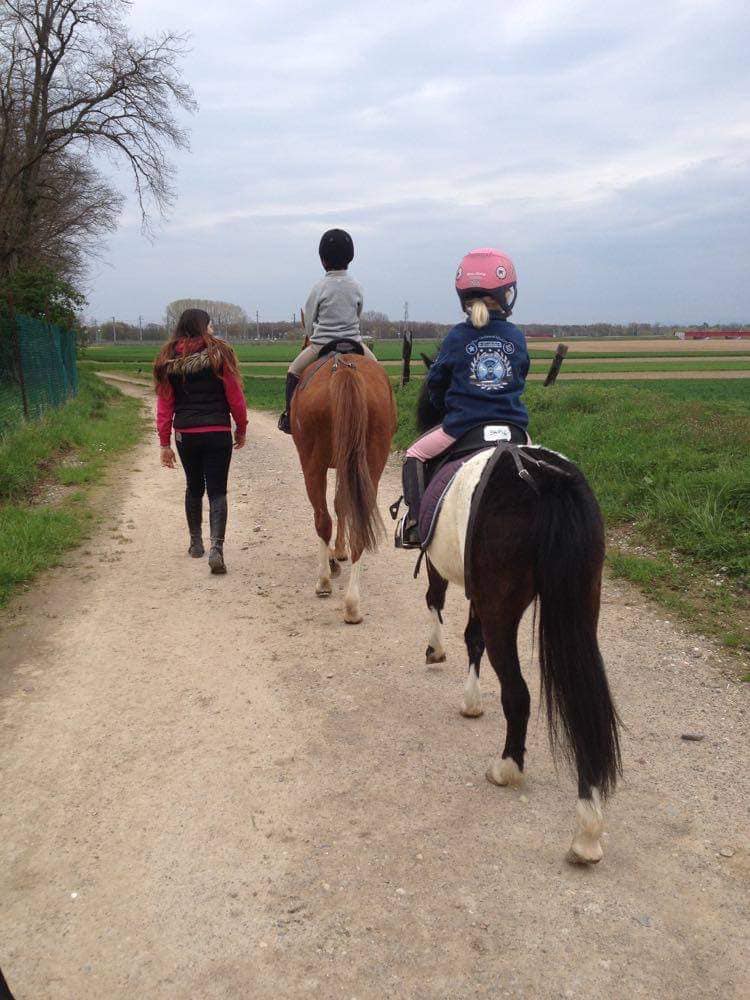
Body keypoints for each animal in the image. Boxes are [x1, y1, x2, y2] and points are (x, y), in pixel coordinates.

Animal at [292, 348, 400, 620]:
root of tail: (343, 368)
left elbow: (336, 506)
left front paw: (335, 556)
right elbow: (342, 504)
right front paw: (340, 551)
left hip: (312, 464)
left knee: (322, 519)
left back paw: (324, 581)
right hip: (371, 463)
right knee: (359, 521)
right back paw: (352, 603)